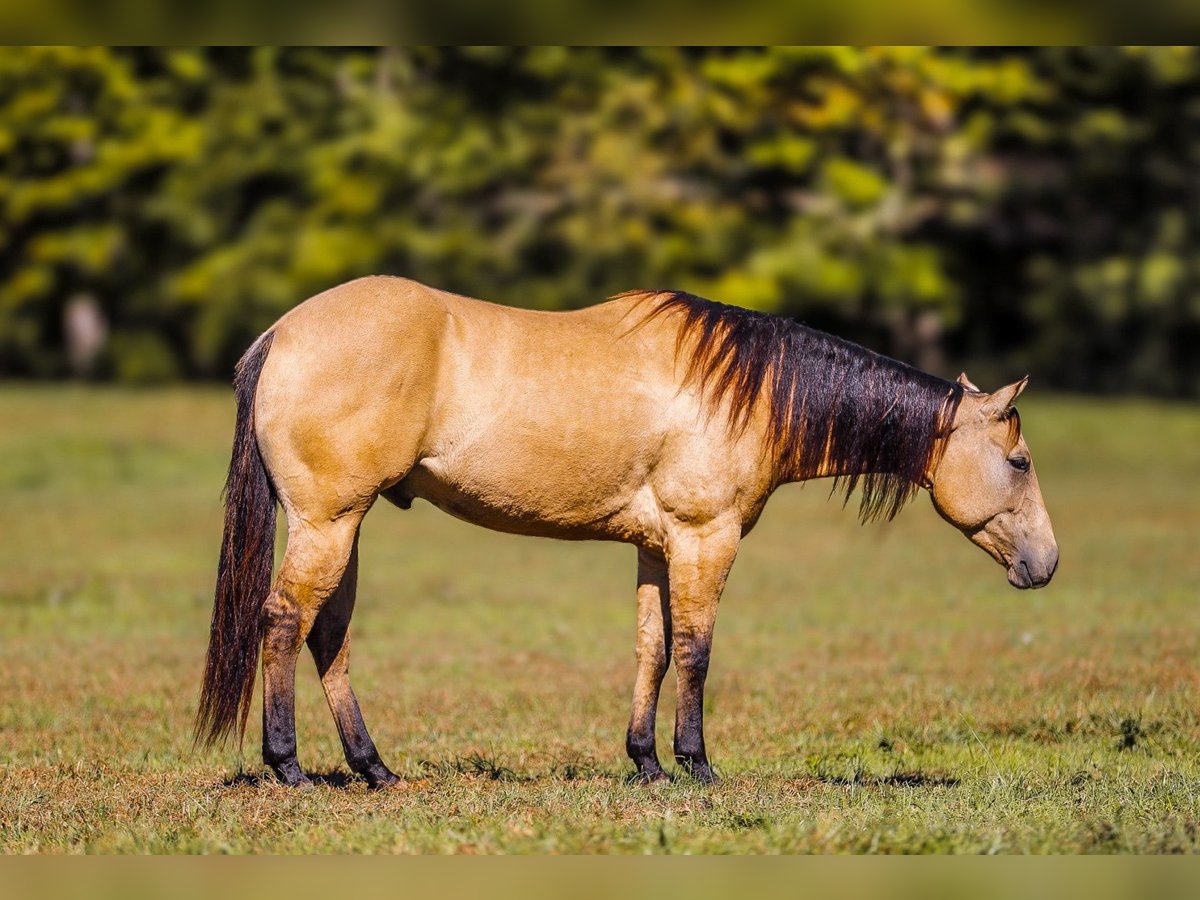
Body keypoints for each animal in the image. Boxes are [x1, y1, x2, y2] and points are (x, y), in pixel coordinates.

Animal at [196, 274, 1060, 787]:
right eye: (1018, 461)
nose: (1046, 564)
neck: (742, 390)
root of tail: (281, 333)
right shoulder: (706, 538)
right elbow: (698, 651)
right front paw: (697, 765)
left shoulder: (655, 546)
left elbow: (654, 648)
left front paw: (646, 763)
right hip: (329, 523)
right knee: (284, 620)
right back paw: (288, 766)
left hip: (344, 526)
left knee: (327, 634)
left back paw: (374, 768)